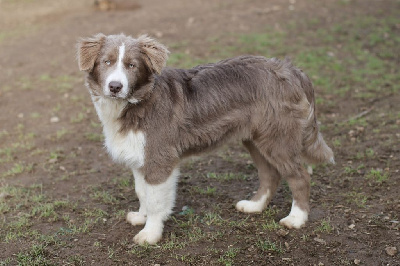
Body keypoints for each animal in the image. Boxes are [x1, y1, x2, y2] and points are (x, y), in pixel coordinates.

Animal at [76, 33, 332, 245]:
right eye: (106, 62)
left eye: (132, 65)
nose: (115, 86)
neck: (138, 102)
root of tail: (291, 69)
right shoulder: (140, 157)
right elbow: (142, 192)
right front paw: (141, 216)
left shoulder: (160, 158)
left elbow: (157, 200)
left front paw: (150, 233)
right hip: (255, 139)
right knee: (270, 174)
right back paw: (254, 206)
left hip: (278, 139)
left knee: (300, 177)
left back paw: (296, 218)